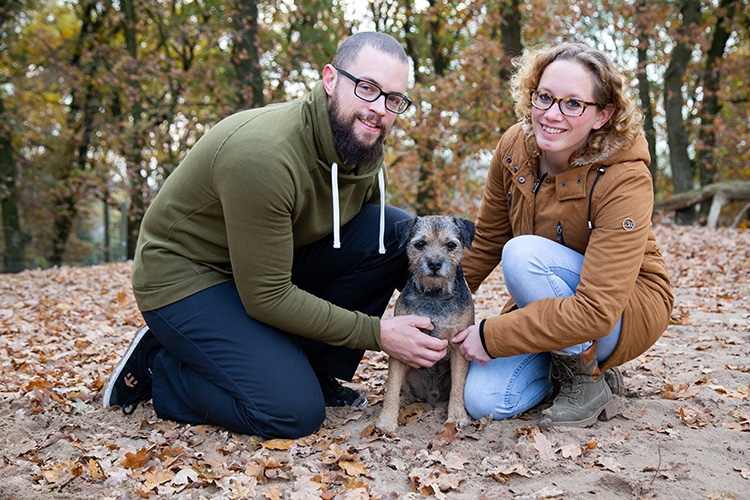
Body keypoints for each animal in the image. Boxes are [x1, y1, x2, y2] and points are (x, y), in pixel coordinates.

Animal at [376, 215, 476, 434]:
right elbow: (392, 386)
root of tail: (432, 396)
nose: (434, 263)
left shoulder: (459, 345)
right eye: (420, 244)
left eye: (451, 245)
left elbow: (458, 386)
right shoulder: (401, 346)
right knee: (404, 390)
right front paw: (386, 421)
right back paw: (406, 401)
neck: (434, 295)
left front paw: (457, 417)